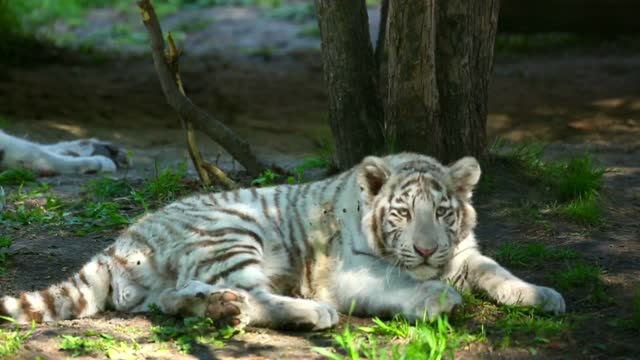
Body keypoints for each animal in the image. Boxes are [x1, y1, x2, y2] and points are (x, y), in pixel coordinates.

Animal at [0, 152, 564, 330]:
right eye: (402, 213)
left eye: (443, 213)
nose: (426, 250)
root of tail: (123, 240)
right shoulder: (347, 272)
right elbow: (396, 281)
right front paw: (435, 298)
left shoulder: (464, 253)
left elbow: (497, 271)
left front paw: (543, 296)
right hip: (231, 234)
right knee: (254, 294)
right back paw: (307, 314)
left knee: (177, 298)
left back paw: (219, 309)